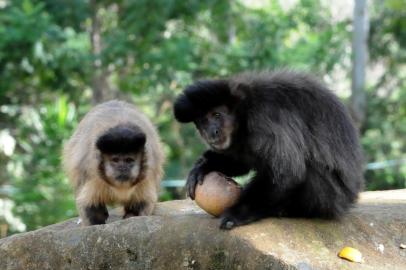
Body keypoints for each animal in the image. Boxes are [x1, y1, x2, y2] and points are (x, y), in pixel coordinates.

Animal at [173, 70, 364, 229]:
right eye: (203, 122)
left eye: (217, 115)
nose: (211, 132)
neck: (245, 111)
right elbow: (242, 161)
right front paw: (204, 166)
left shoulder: (264, 118)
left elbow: (288, 172)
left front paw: (238, 213)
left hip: (332, 198)